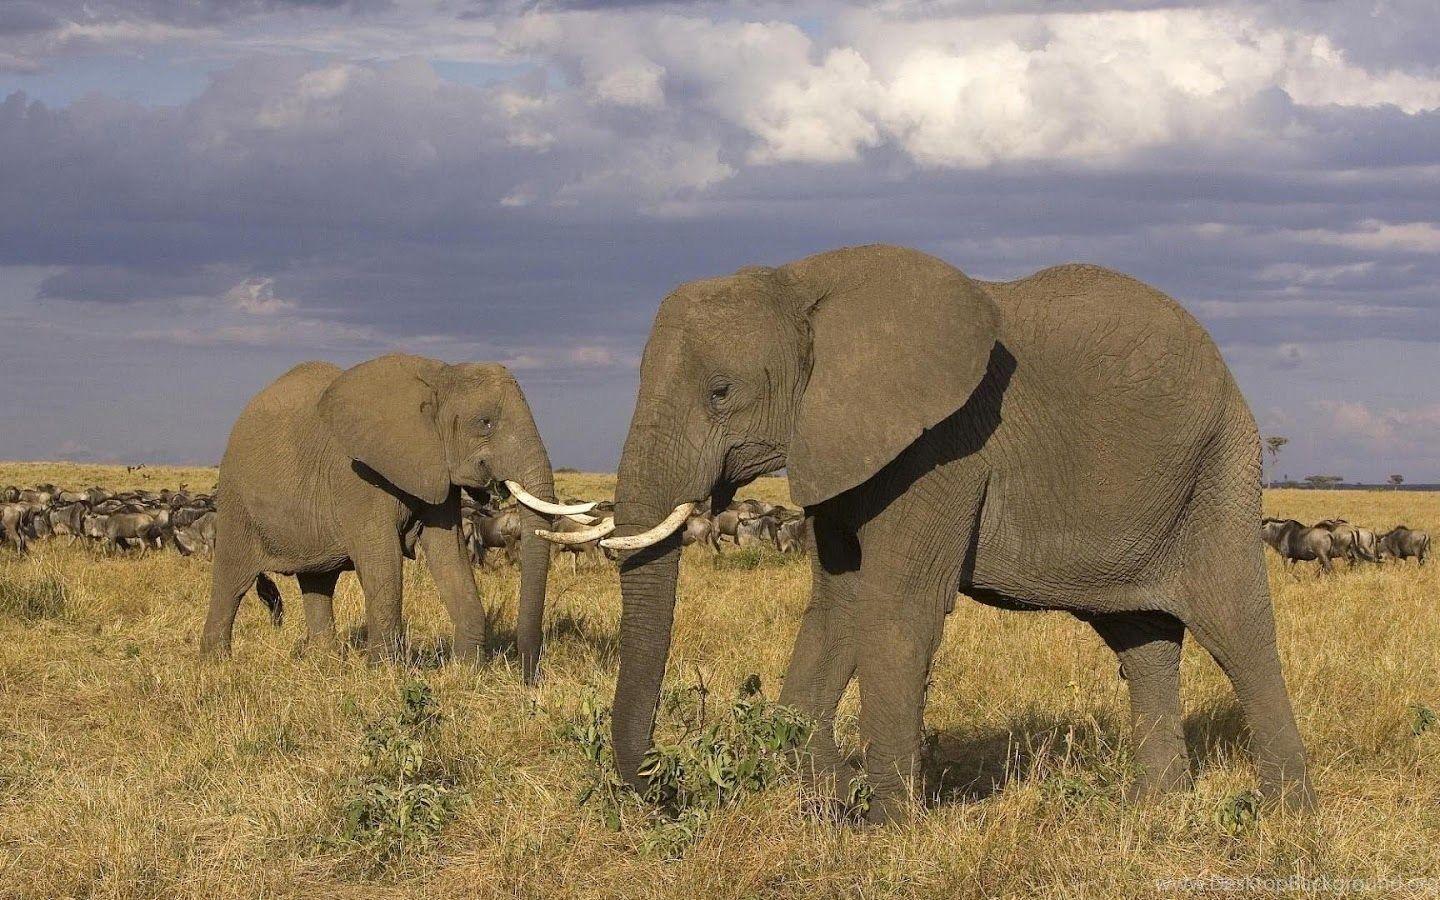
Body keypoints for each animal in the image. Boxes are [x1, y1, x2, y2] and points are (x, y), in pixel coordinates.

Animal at [199, 354, 590, 678]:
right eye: (486, 423)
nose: (527, 677)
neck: (440, 376)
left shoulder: (435, 467)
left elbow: (449, 553)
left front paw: (466, 673)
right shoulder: (357, 476)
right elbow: (381, 558)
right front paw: (386, 677)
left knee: (318, 582)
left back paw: (323, 663)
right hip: (236, 498)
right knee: (232, 582)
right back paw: (216, 666)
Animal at [555, 244, 1314, 821]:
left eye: (720, 391)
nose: (660, 786)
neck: (800, 283)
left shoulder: (943, 449)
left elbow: (898, 608)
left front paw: (886, 822)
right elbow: (838, 607)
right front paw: (821, 794)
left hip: (1220, 467)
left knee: (1237, 629)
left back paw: (1282, 814)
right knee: (1142, 639)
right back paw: (1158, 808)